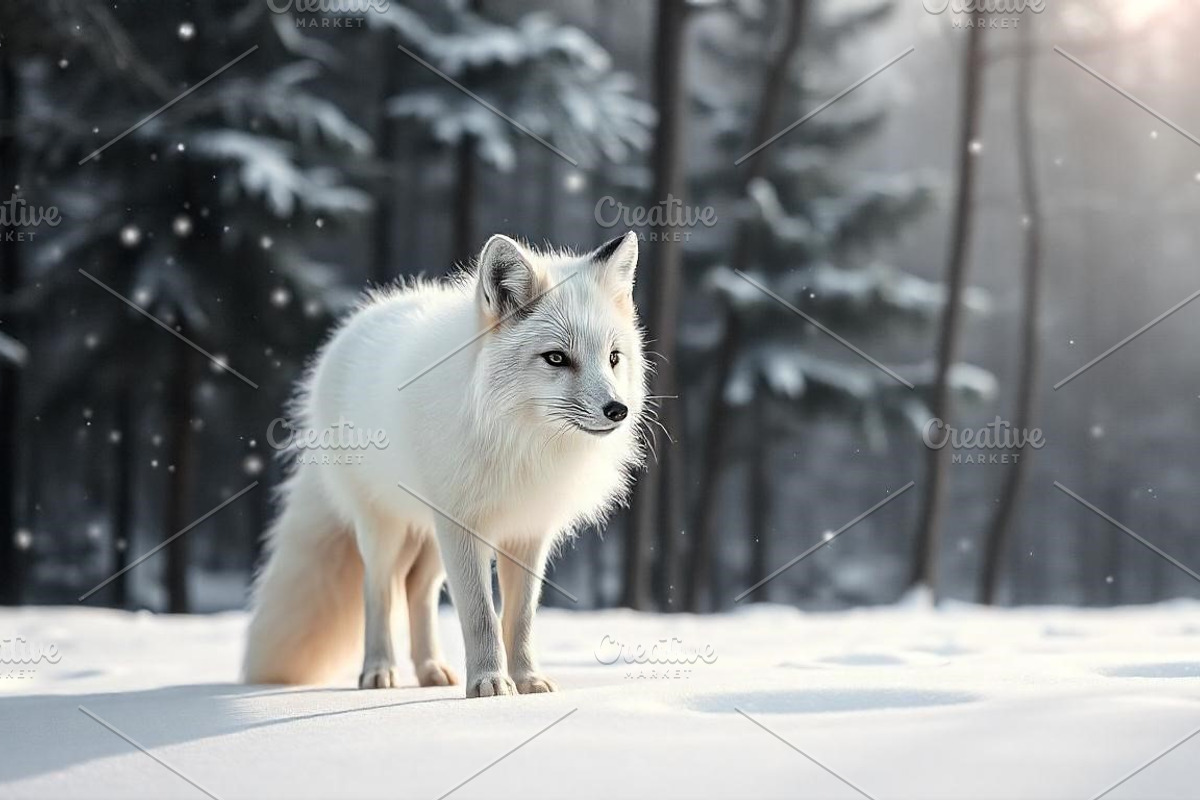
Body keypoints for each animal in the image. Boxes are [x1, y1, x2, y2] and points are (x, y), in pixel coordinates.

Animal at [242, 232, 647, 697]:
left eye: (613, 357)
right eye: (557, 358)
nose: (617, 410)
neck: (519, 443)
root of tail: (354, 324)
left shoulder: (526, 532)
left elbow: (520, 618)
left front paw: (527, 681)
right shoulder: (463, 526)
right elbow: (480, 615)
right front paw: (490, 683)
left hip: (433, 539)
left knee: (416, 591)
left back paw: (431, 670)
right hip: (387, 529)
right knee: (380, 589)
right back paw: (379, 671)